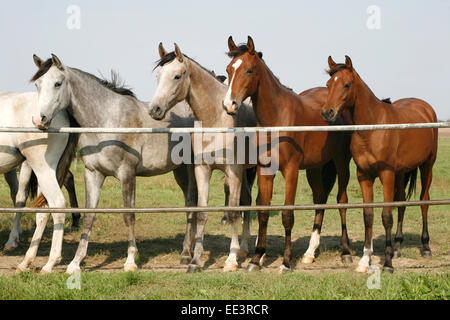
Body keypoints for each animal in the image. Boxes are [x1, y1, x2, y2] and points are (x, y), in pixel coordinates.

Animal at [32, 53, 199, 274]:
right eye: (38, 84)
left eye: (58, 83)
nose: (39, 119)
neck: (107, 120)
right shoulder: (93, 173)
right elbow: (89, 217)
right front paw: (75, 263)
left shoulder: (126, 174)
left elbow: (129, 216)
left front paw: (130, 261)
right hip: (179, 171)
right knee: (189, 203)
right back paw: (186, 252)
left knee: (193, 203)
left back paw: (187, 254)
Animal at [149, 42, 256, 272]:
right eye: (159, 75)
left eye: (177, 76)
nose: (155, 109)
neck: (216, 118)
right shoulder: (202, 170)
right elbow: (201, 213)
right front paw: (195, 261)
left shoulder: (233, 170)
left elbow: (233, 212)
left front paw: (231, 260)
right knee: (247, 201)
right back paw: (243, 248)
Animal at [223, 36, 354, 274]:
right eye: (229, 69)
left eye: (249, 70)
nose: (230, 104)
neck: (277, 119)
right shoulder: (265, 170)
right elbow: (263, 212)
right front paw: (256, 259)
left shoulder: (291, 171)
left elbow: (287, 215)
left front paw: (285, 262)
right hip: (315, 168)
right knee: (320, 200)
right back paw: (310, 253)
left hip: (341, 163)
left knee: (342, 200)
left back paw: (346, 253)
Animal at [322, 55, 438, 272]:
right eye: (328, 84)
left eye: (347, 85)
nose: (327, 112)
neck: (372, 129)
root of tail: (425, 107)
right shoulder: (364, 175)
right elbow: (368, 215)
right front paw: (365, 260)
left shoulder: (386, 174)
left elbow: (386, 216)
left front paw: (387, 263)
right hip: (401, 173)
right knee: (401, 202)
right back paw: (398, 247)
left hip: (427, 166)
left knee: (424, 202)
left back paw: (426, 247)